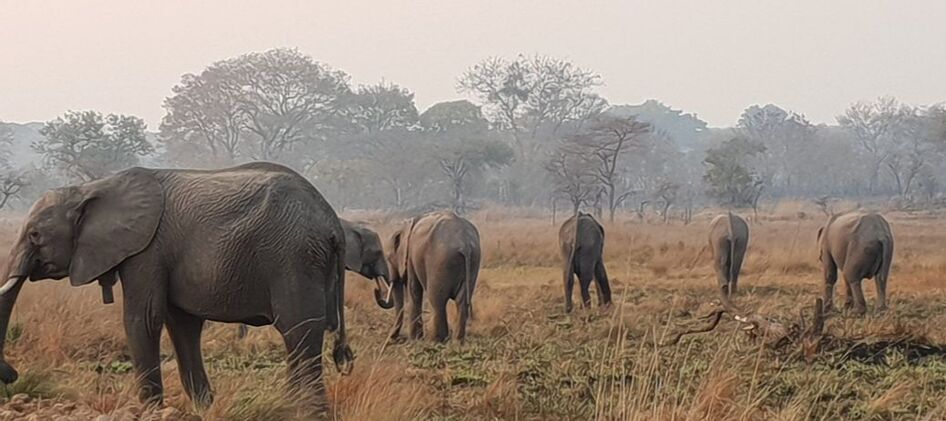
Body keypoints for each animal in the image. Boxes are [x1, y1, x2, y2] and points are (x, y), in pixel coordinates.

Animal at [0, 162, 353, 410]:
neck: (91, 189)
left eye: (34, 235)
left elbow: (142, 319)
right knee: (298, 336)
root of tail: (333, 224)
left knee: (299, 330)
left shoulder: (146, 250)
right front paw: (203, 407)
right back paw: (291, 405)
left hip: (293, 257)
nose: (13, 376)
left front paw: (149, 410)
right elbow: (181, 324)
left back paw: (305, 410)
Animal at [383, 210, 480, 342]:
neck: (407, 224)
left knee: (437, 300)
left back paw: (436, 341)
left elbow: (414, 291)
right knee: (462, 301)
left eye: (388, 258)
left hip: (439, 261)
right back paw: (457, 342)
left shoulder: (411, 258)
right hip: (473, 261)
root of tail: (464, 244)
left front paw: (415, 340)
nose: (393, 339)